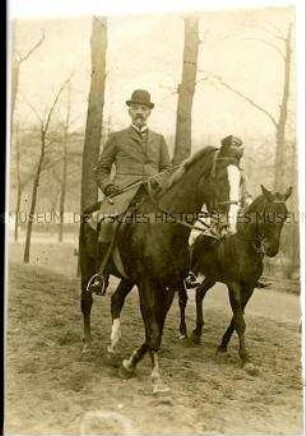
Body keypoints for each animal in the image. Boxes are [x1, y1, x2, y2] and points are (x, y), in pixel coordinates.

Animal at [80, 147, 243, 396]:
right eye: (220, 178)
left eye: (240, 180)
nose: (229, 227)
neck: (165, 227)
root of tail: (91, 210)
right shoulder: (147, 283)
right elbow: (154, 330)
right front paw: (156, 378)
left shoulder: (169, 286)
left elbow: (155, 327)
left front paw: (129, 364)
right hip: (88, 266)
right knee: (86, 302)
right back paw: (88, 345)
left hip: (128, 278)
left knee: (116, 300)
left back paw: (113, 348)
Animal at [178, 184, 292, 364]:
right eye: (268, 215)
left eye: (285, 215)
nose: (272, 249)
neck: (246, 245)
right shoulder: (234, 285)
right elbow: (239, 320)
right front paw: (244, 355)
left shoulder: (249, 288)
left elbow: (236, 317)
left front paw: (223, 345)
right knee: (182, 299)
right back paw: (183, 331)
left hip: (212, 277)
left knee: (199, 293)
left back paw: (197, 332)